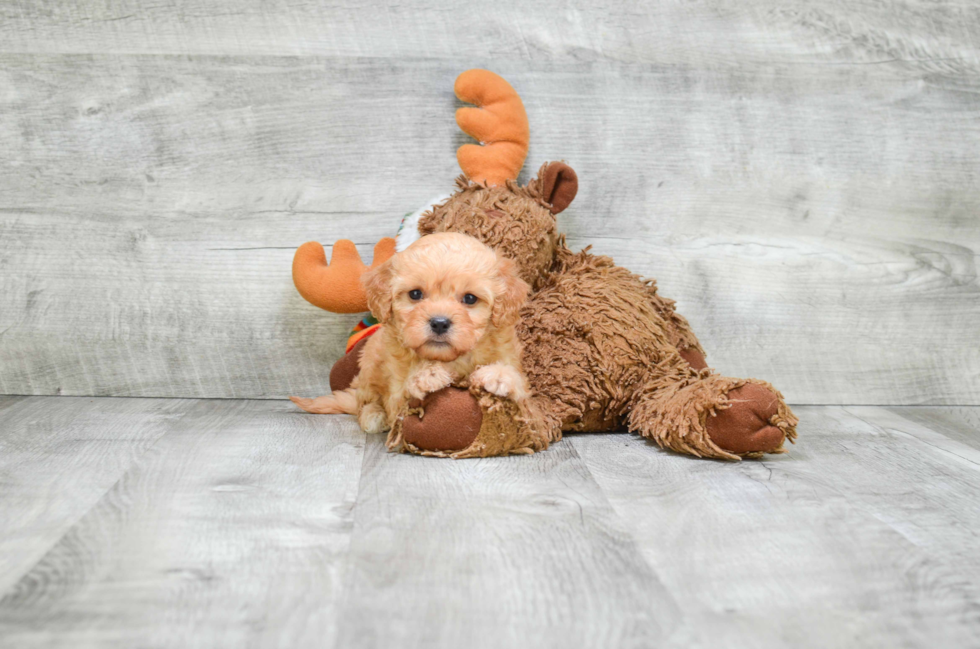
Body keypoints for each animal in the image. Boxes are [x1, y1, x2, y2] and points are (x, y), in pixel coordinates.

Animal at [290, 230, 528, 432]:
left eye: (470, 298)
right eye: (415, 294)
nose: (439, 323)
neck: (449, 359)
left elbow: (522, 390)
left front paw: (499, 375)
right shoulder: (395, 393)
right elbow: (401, 398)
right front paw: (426, 375)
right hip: (369, 361)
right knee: (364, 401)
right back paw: (373, 415)